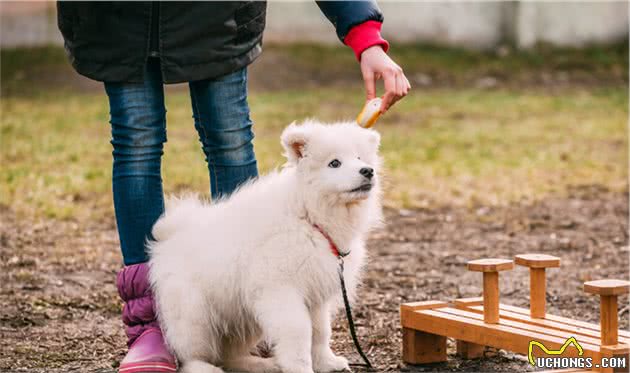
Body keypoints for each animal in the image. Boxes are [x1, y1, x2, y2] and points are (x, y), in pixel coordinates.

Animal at [149, 120, 386, 370]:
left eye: (360, 158)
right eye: (334, 163)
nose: (367, 171)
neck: (307, 216)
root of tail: (169, 235)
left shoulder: (315, 293)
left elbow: (320, 332)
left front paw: (326, 362)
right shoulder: (280, 290)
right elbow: (299, 333)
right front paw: (300, 368)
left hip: (242, 317)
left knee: (228, 355)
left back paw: (261, 364)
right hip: (194, 316)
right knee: (192, 356)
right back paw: (208, 369)